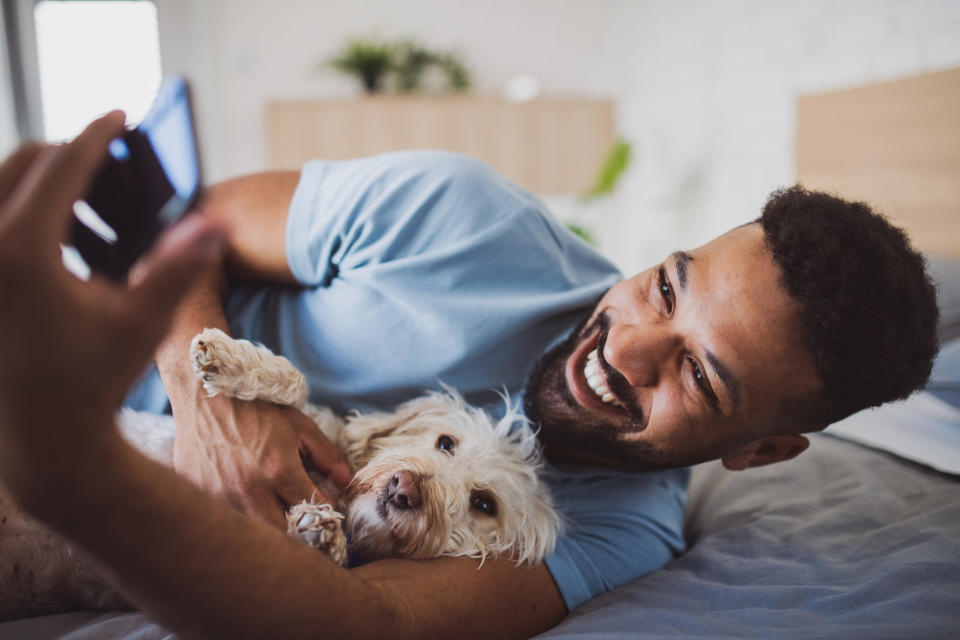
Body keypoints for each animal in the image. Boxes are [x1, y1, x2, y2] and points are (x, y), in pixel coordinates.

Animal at [0, 328, 560, 616]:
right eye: (446, 443)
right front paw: (230, 359)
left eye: (484, 504)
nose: (404, 489)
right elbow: (297, 385)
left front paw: (320, 535)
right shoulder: (313, 427)